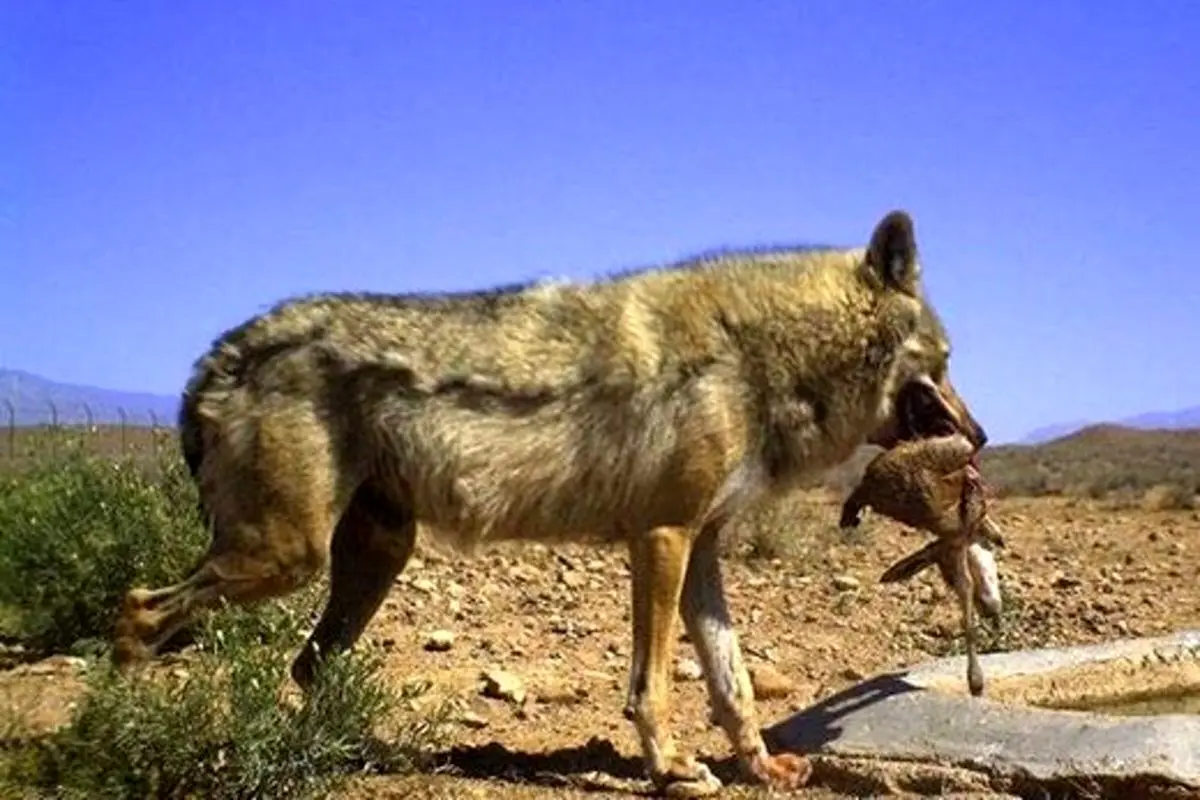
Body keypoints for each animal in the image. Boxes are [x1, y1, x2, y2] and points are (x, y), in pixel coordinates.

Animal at [114, 209, 984, 796]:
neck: (754, 353)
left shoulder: (699, 546)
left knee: (304, 664)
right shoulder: (661, 537)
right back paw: (118, 725)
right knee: (137, 611)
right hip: (284, 558)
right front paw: (671, 768)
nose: (978, 437)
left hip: (371, 556)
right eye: (945, 365)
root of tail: (222, 352)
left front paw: (761, 765)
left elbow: (731, 681)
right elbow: (653, 685)